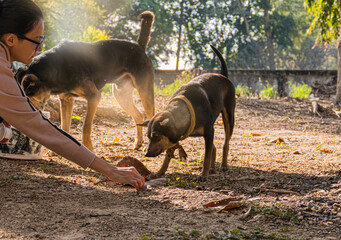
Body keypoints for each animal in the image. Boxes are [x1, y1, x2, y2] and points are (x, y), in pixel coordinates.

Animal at [15, 11, 154, 150]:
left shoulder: (94, 97)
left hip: (145, 91)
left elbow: (85, 126)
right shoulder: (66, 99)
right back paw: (138, 142)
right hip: (121, 95)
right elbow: (64, 127)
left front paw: (88, 147)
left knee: (152, 117)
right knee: (139, 115)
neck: (54, 67)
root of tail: (139, 46)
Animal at [139, 45, 235, 180]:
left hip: (229, 117)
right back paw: (212, 168)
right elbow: (168, 155)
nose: (146, 154)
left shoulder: (209, 132)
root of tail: (223, 76)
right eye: (147, 136)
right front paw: (159, 172)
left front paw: (203, 175)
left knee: (225, 144)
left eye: (156, 136)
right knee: (213, 148)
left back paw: (223, 165)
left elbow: (206, 156)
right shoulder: (174, 137)